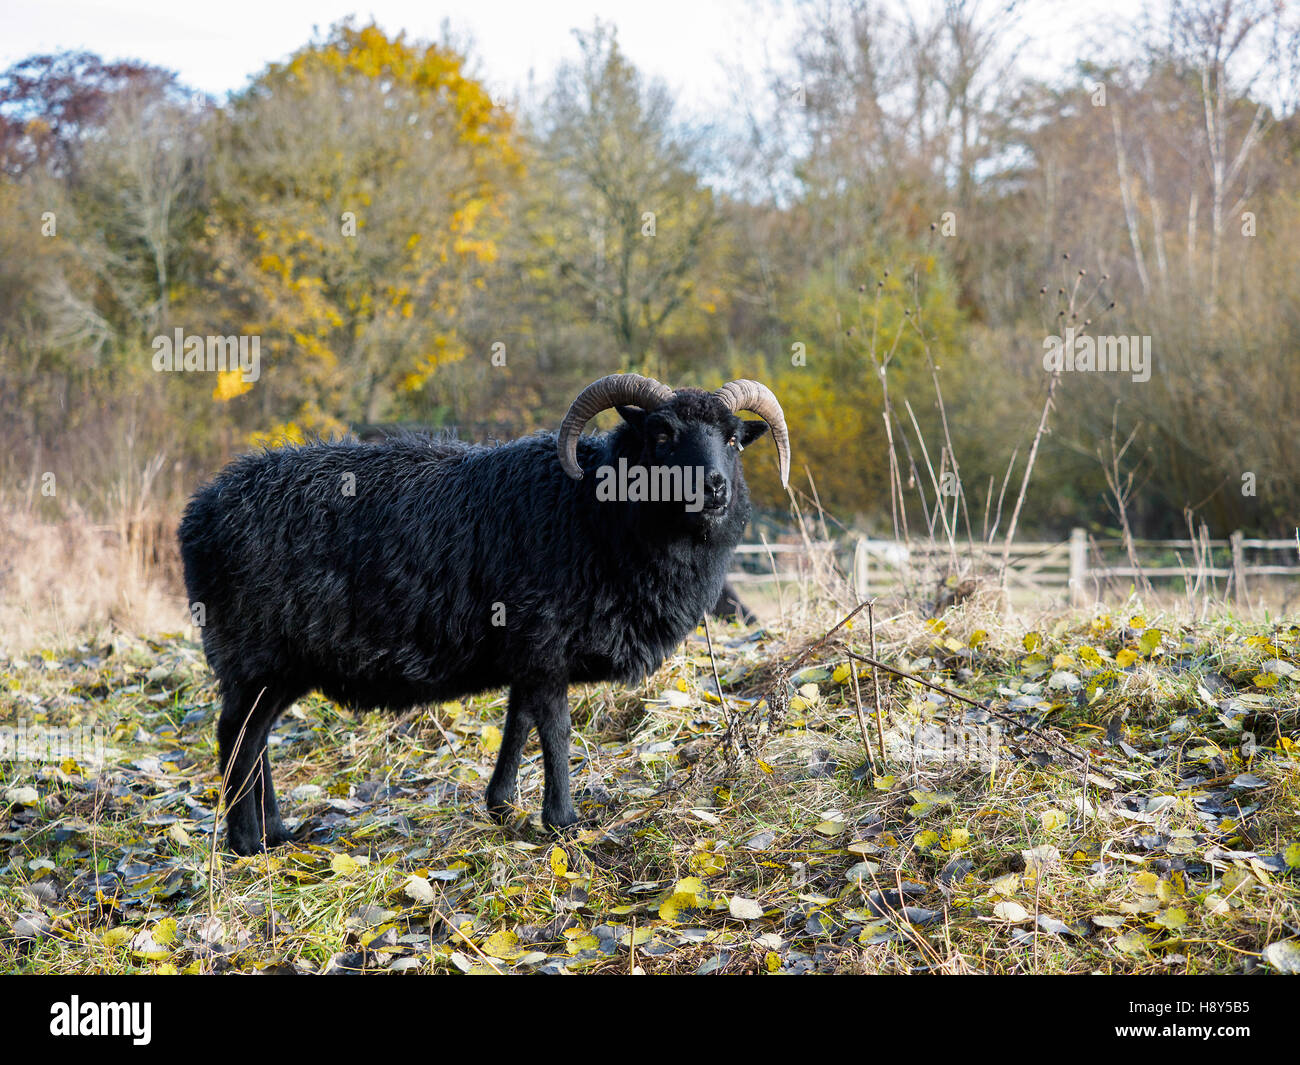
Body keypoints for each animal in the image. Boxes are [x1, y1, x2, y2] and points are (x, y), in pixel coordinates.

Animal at [179, 374, 790, 855]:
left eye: (733, 439)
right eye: (662, 434)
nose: (714, 487)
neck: (593, 511)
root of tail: (198, 513)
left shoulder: (527, 653)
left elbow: (518, 722)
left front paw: (503, 807)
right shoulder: (546, 644)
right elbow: (556, 730)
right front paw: (564, 823)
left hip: (281, 664)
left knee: (255, 738)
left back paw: (277, 832)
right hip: (257, 651)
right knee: (237, 735)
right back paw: (248, 843)